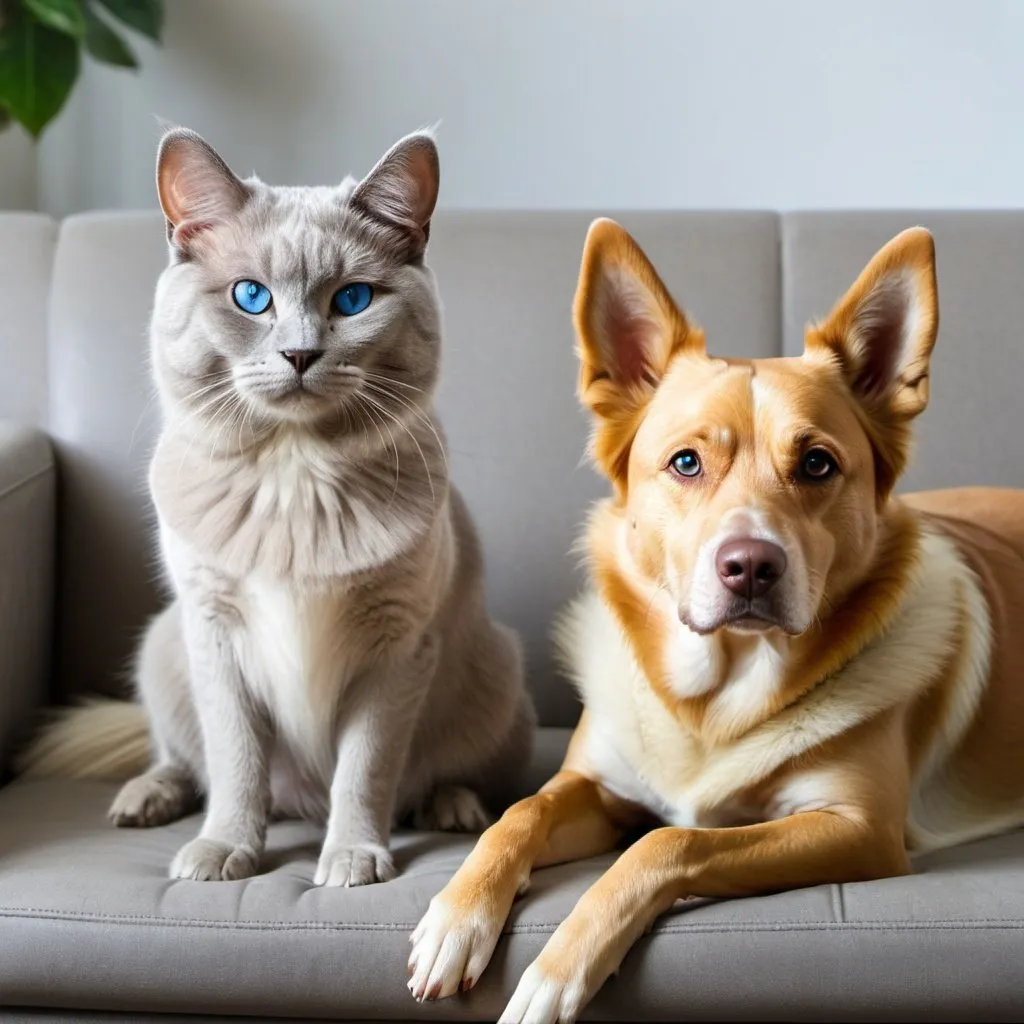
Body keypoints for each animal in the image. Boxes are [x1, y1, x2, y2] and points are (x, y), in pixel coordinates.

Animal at [22, 128, 536, 884]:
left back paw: (452, 805)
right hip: (162, 645)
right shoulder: (214, 633)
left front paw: (352, 857)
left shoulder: (396, 646)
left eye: (353, 300)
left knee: (455, 774)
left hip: (498, 672)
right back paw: (145, 799)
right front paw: (223, 851)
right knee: (180, 758)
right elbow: (236, 762)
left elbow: (366, 767)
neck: (294, 474)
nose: (299, 354)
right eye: (250, 296)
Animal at [403, 220, 1024, 1019]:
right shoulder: (597, 788)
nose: (751, 566)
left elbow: (669, 844)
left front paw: (554, 973)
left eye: (818, 464)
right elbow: (520, 814)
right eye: (686, 463)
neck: (713, 702)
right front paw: (457, 916)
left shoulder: (858, 830)